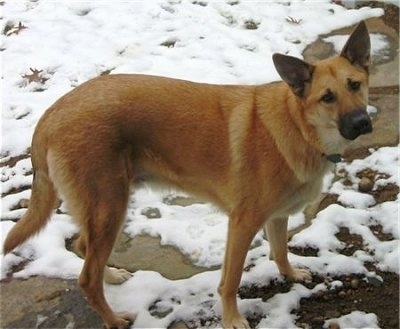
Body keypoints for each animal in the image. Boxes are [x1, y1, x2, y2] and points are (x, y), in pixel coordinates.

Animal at [3, 21, 372, 326]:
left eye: (355, 85)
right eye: (327, 97)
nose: (362, 123)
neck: (300, 126)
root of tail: (50, 115)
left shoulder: (277, 216)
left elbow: (280, 251)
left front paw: (291, 274)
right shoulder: (242, 223)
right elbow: (230, 281)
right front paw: (232, 320)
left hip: (102, 211)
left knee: (83, 247)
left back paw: (112, 276)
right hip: (110, 207)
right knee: (86, 279)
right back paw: (114, 319)